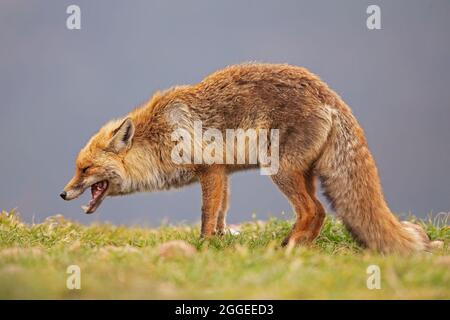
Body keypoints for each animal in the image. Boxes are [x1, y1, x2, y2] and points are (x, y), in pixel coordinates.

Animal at [60, 63, 436, 252]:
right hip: (304, 173)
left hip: (280, 171)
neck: (157, 136)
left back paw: (290, 246)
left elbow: (206, 214)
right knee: (319, 213)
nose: (62, 194)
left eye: (85, 169)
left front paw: (205, 246)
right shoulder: (223, 173)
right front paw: (221, 240)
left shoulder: (210, 170)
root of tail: (329, 94)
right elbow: (221, 213)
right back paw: (300, 246)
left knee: (314, 210)